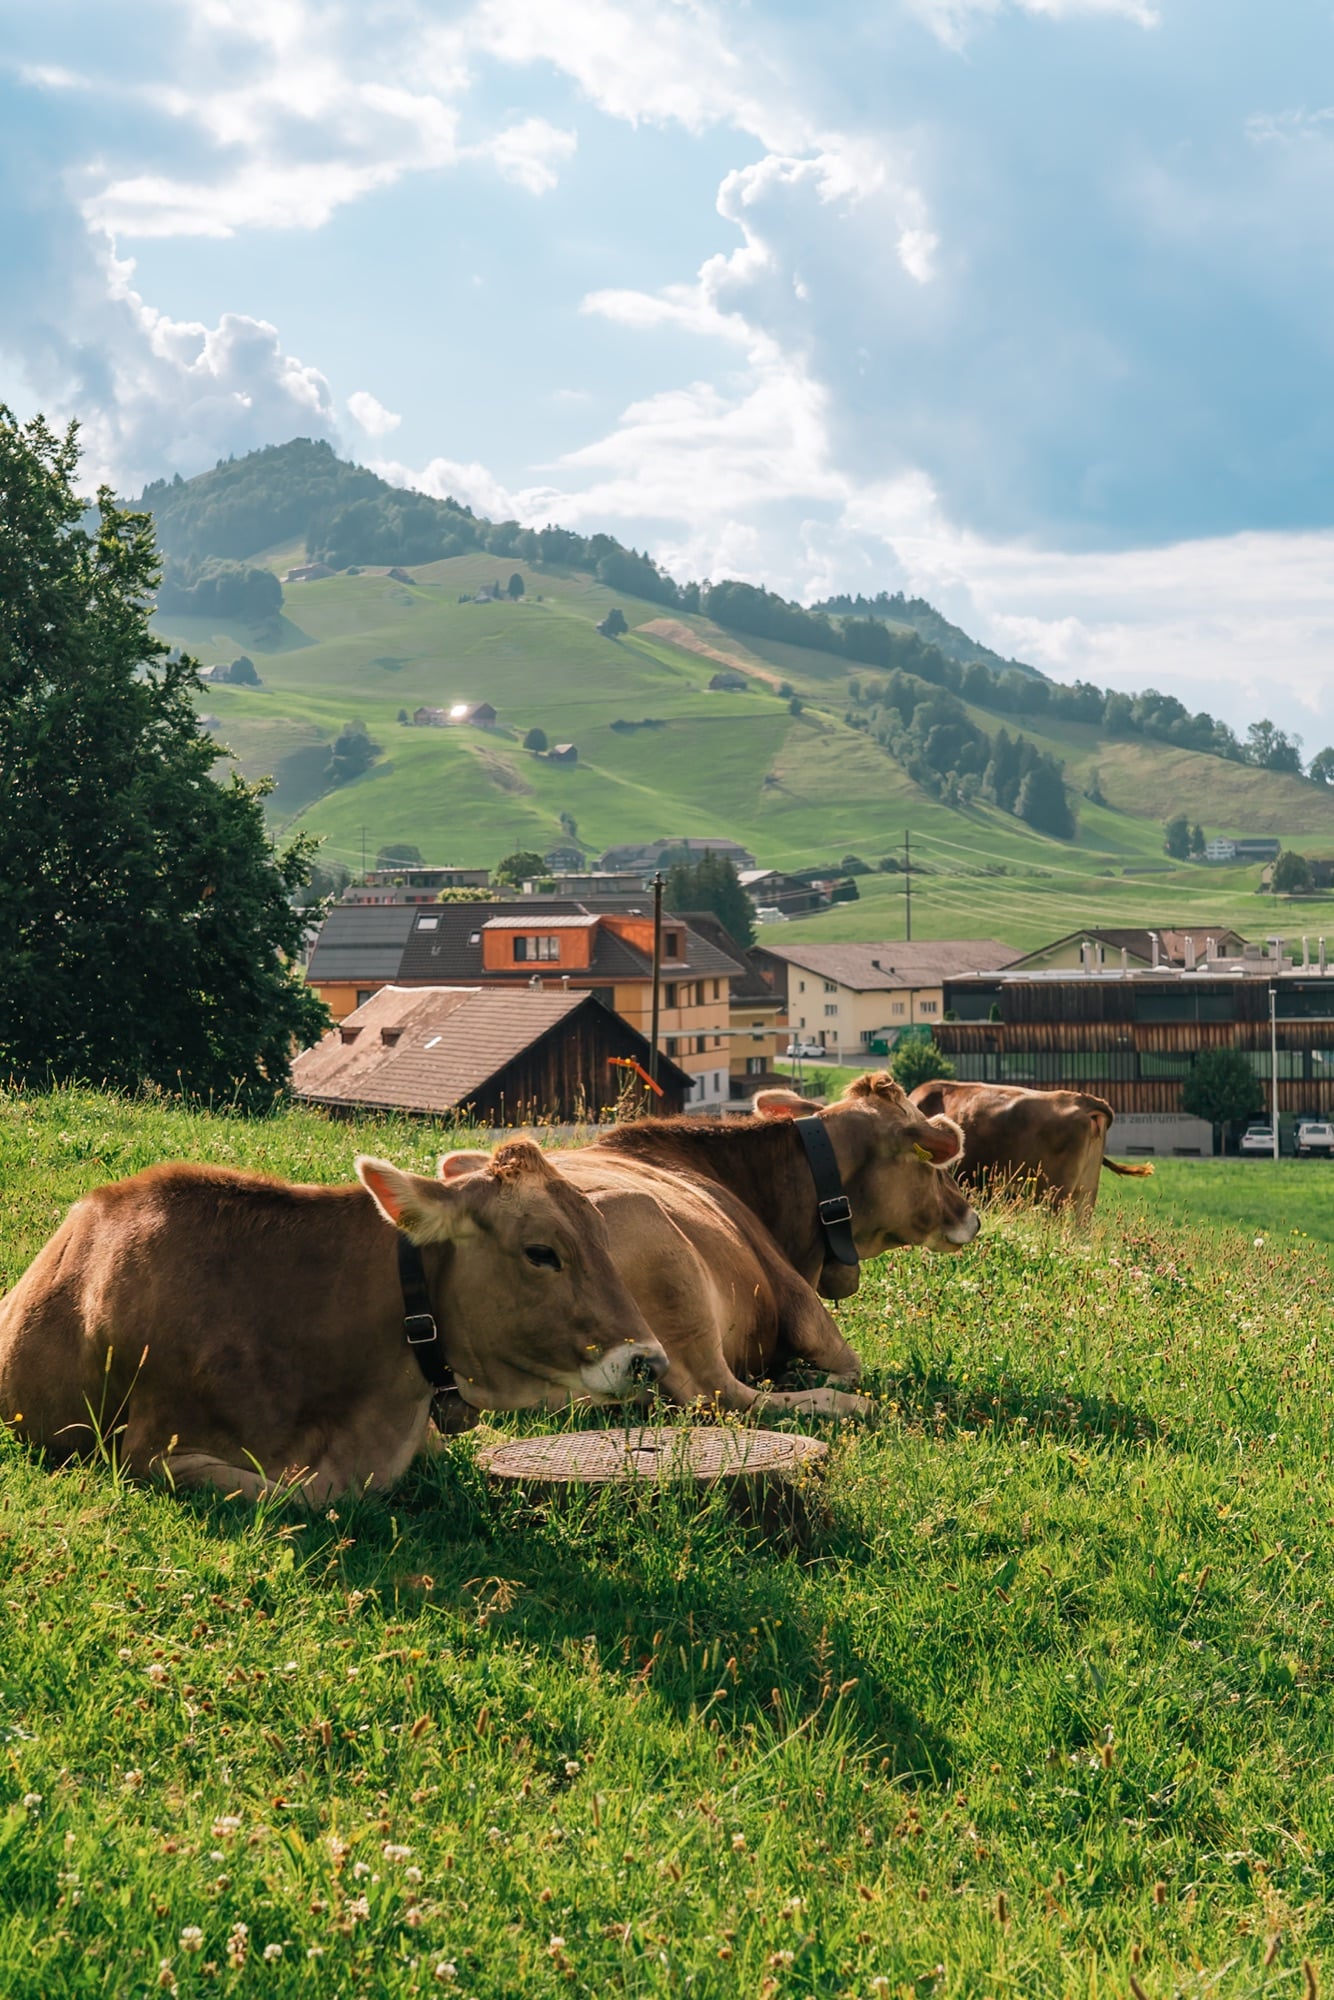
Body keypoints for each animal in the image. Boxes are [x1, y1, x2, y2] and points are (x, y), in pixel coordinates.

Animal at [441, 1073, 978, 1418]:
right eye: (933, 1162)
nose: (971, 1217)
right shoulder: (804, 1308)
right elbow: (850, 1365)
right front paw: (815, 1379)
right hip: (674, 1283)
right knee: (725, 1397)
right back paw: (838, 1401)